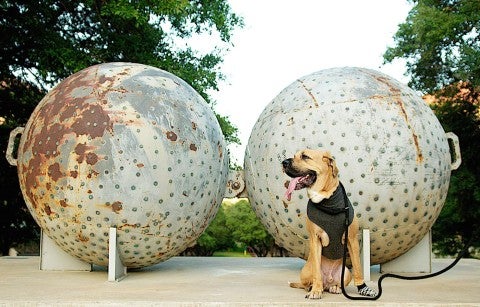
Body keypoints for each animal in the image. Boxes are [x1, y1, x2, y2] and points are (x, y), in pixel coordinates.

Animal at [282, 150, 378, 300]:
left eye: (305, 156)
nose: (283, 163)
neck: (326, 200)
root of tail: (329, 281)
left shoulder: (352, 239)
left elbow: (358, 267)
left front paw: (363, 288)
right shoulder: (315, 239)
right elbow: (317, 273)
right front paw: (315, 290)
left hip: (346, 272)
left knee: (338, 283)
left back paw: (335, 288)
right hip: (306, 271)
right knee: (308, 282)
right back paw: (314, 287)